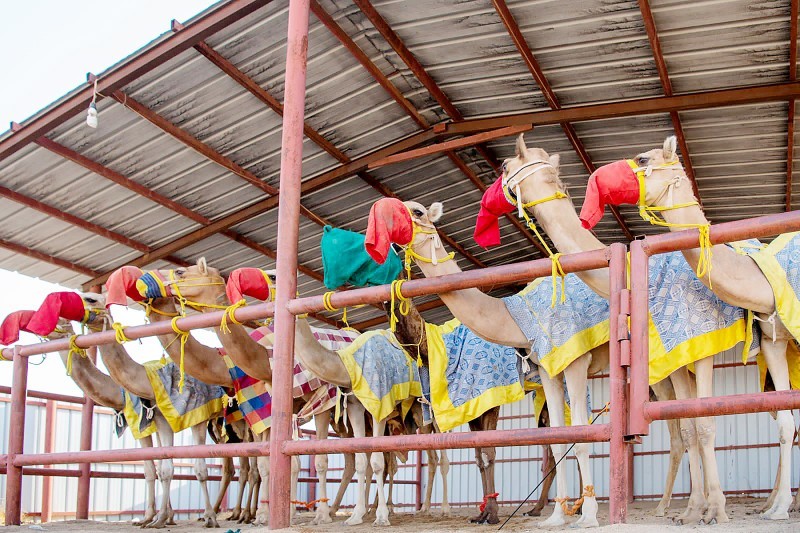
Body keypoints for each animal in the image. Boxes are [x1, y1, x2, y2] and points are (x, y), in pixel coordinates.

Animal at [580, 135, 800, 516]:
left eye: (643, 158)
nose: (595, 179)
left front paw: (716, 509)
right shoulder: (773, 340)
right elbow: (784, 422)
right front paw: (774, 506)